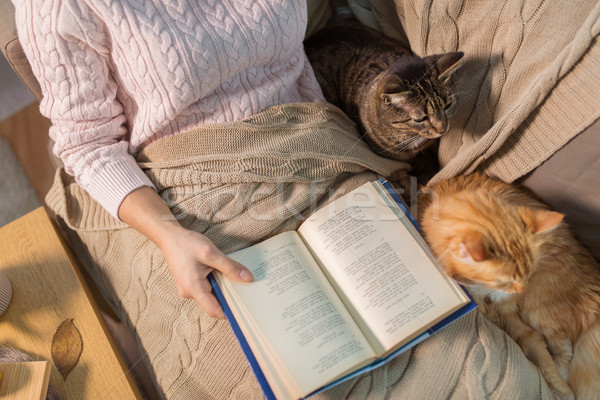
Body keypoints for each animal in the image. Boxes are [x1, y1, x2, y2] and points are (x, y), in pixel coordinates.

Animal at [418, 173, 600, 400]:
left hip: (537, 309)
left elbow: (543, 359)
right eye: (504, 280)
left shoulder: (513, 315)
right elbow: (539, 354)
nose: (521, 291)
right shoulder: (508, 317)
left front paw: (562, 391)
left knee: (565, 349)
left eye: (528, 273)